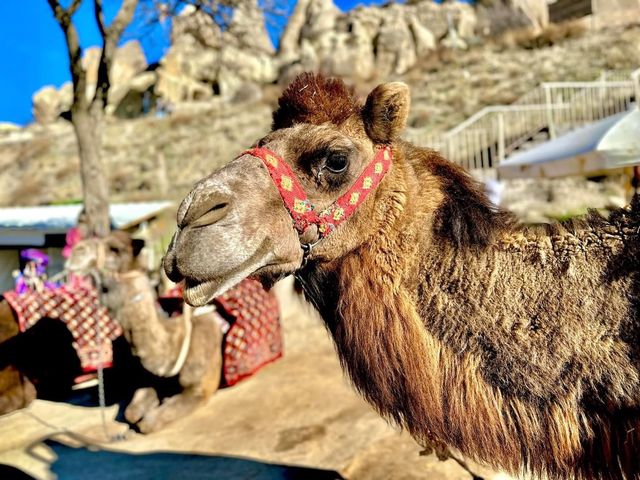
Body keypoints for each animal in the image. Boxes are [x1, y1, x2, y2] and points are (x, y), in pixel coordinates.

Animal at [66, 234, 224, 434]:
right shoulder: (150, 381)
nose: (77, 251)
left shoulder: (200, 390)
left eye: (115, 249)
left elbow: (148, 423)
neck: (175, 345)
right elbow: (132, 412)